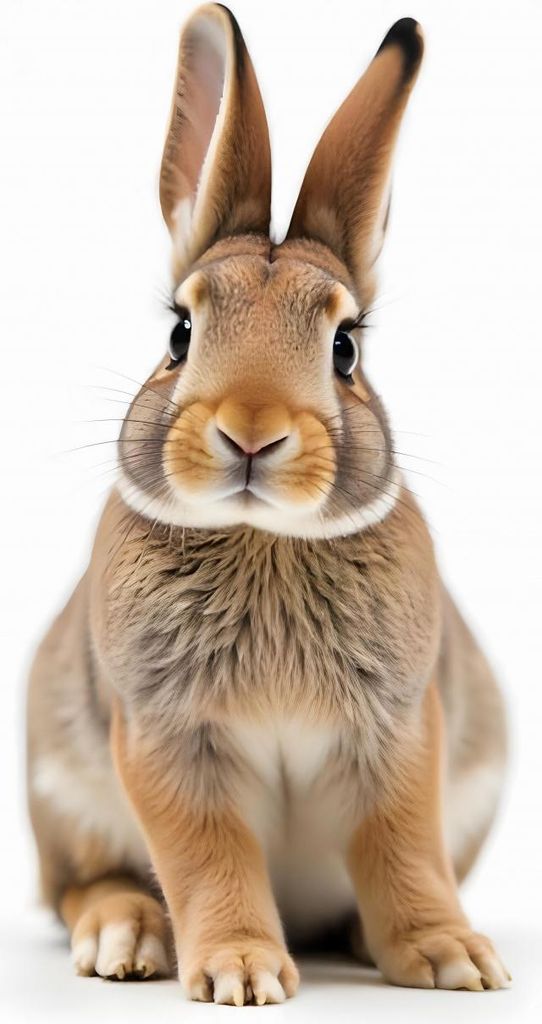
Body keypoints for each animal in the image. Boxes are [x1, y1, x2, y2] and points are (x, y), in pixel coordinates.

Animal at [27, 3, 510, 1006]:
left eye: (346, 348)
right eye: (179, 332)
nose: (251, 431)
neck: (263, 539)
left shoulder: (401, 731)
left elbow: (405, 851)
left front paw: (453, 958)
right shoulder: (167, 737)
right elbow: (209, 858)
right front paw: (242, 973)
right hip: (63, 801)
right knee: (81, 884)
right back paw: (125, 936)